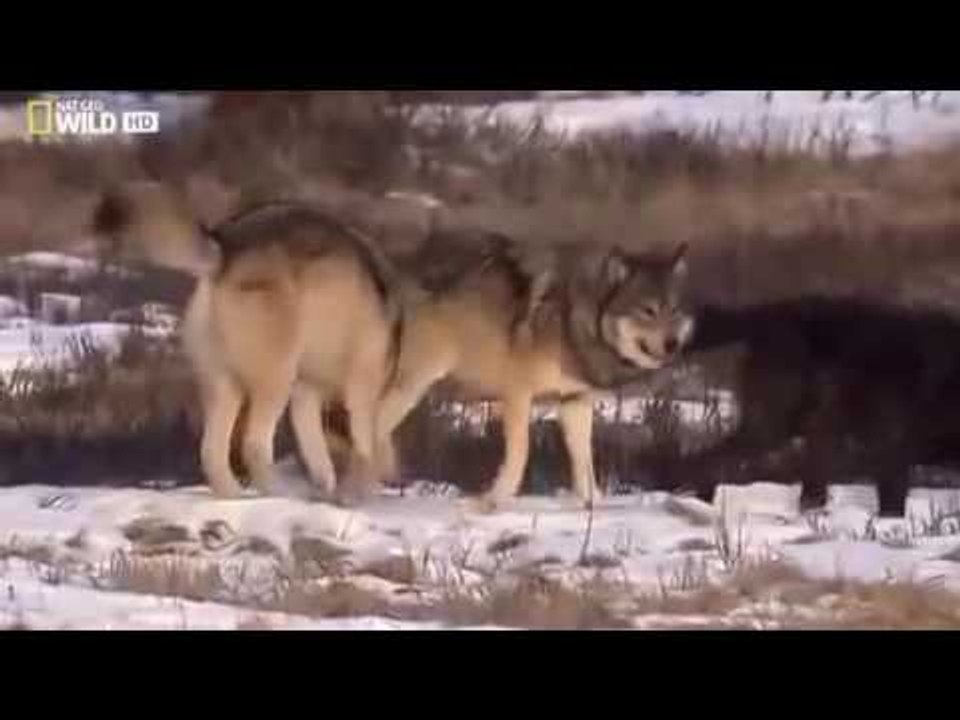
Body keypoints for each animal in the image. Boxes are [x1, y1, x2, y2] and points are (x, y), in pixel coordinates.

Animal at [92, 181, 404, 503]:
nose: (397, 478)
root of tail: (227, 246)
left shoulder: (307, 391)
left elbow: (319, 452)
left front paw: (329, 488)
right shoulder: (360, 386)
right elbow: (362, 446)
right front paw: (357, 490)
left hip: (227, 385)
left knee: (211, 451)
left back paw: (235, 495)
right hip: (276, 377)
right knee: (253, 445)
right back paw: (282, 493)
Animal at [375, 229, 695, 509]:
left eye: (674, 310)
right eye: (648, 310)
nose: (673, 344)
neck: (572, 317)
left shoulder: (574, 403)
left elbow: (586, 463)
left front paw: (594, 507)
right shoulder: (518, 393)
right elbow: (522, 452)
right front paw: (493, 500)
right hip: (411, 384)